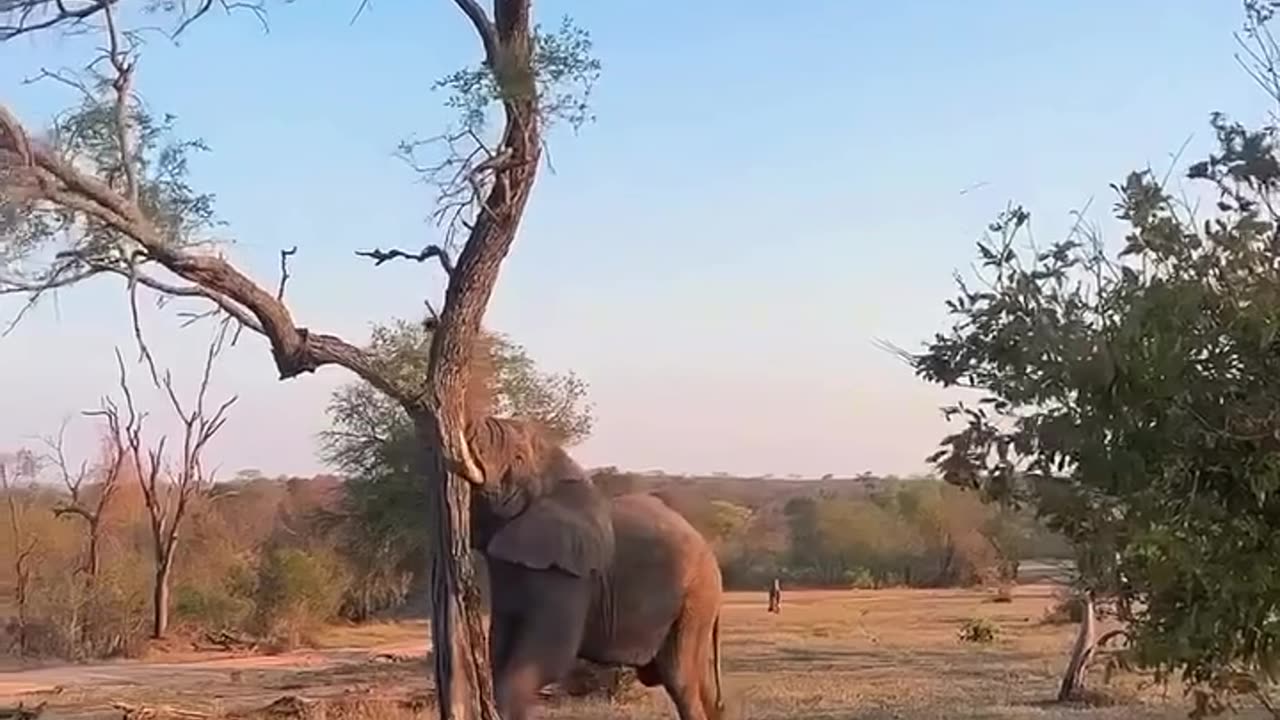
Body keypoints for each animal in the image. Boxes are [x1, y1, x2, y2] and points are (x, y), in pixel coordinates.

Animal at [466, 416, 725, 720]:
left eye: (517, 458)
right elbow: (499, 646)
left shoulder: (572, 574)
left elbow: (549, 657)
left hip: (696, 598)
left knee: (680, 679)